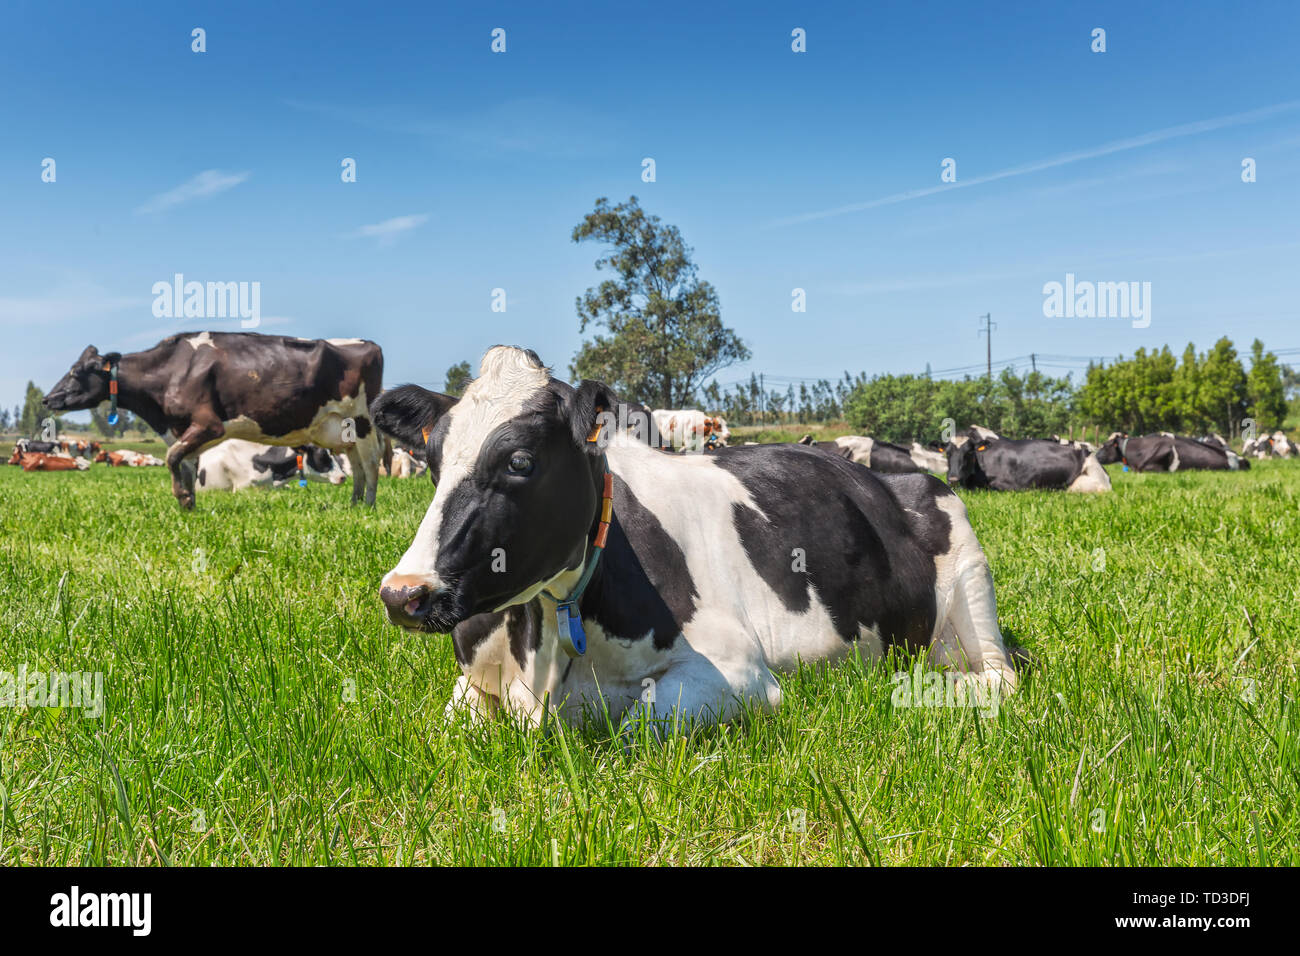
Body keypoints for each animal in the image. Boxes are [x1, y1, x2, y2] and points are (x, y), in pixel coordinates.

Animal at [371, 346, 1018, 730]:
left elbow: (638, 721)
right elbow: (455, 718)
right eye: (431, 460)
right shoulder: (472, 686)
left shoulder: (738, 673)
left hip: (970, 577)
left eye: (520, 461)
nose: (404, 593)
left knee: (995, 679)